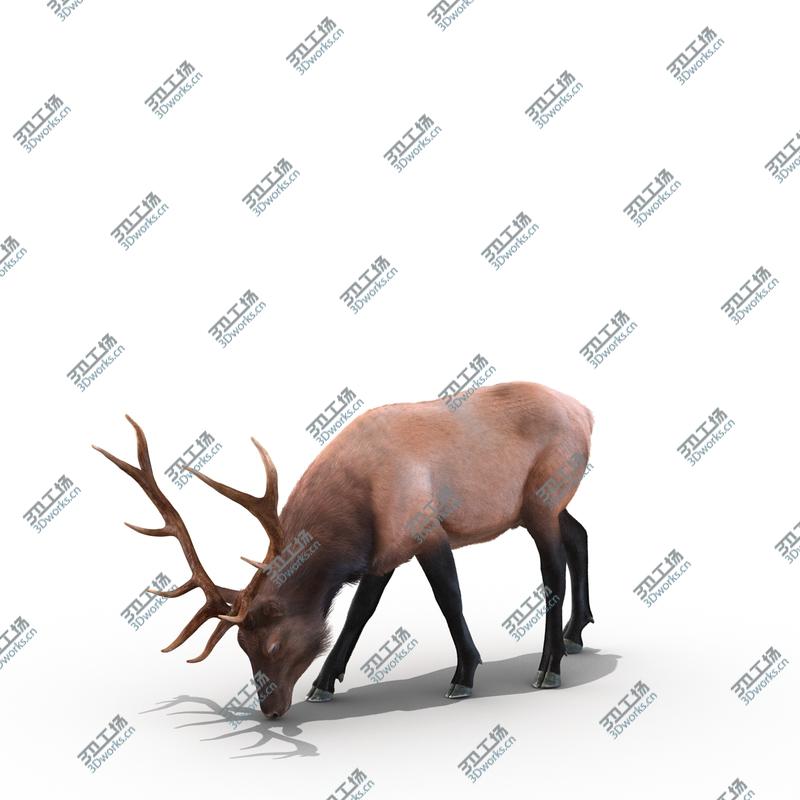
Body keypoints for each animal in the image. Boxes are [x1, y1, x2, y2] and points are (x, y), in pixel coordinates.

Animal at [93, 380, 595, 719]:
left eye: (273, 644)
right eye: (240, 644)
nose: (270, 710)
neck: (355, 516)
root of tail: (586, 413)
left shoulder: (424, 529)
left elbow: (449, 600)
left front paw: (464, 674)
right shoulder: (384, 551)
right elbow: (358, 612)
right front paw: (323, 682)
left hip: (543, 498)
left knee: (551, 571)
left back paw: (550, 666)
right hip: (545, 506)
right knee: (580, 535)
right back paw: (575, 635)